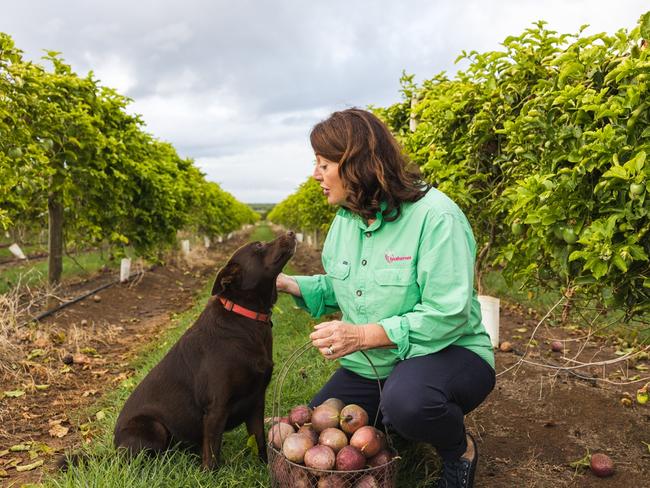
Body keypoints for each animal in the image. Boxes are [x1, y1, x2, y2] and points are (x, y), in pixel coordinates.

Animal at [112, 233, 294, 468]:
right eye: (259, 245)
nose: (291, 233)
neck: (245, 316)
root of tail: (114, 447)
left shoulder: (256, 401)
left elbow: (260, 440)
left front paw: (265, 468)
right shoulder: (216, 408)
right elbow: (213, 454)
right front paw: (210, 472)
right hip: (154, 427)